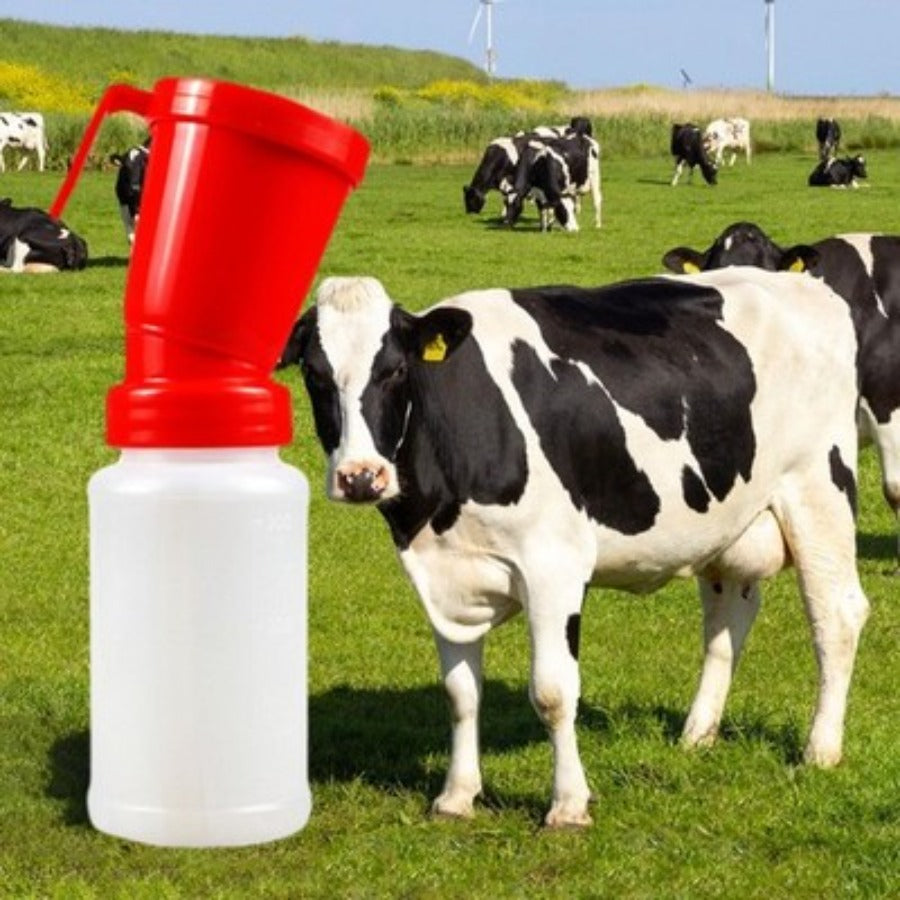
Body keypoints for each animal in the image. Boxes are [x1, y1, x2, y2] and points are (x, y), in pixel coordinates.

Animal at [278, 271, 868, 828]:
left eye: (396, 370)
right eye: (315, 374)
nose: (361, 477)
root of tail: (802, 284)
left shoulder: (552, 567)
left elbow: (553, 692)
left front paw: (568, 806)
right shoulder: (444, 574)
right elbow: (460, 693)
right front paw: (456, 797)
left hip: (819, 488)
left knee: (837, 615)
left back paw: (820, 749)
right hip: (725, 522)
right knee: (728, 621)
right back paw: (697, 733)